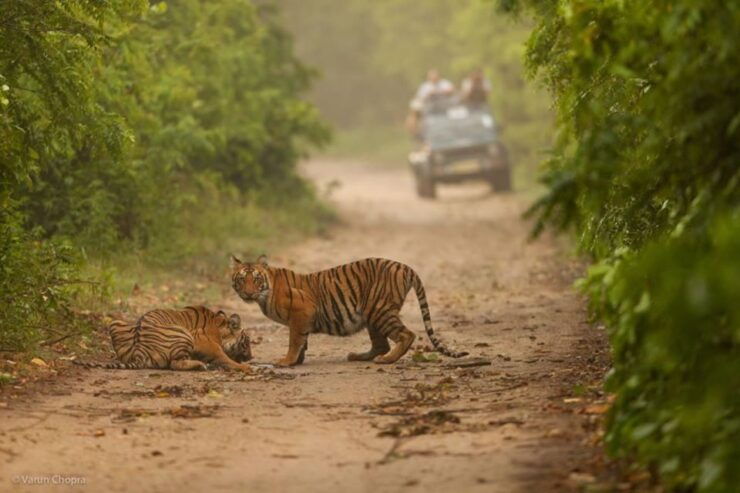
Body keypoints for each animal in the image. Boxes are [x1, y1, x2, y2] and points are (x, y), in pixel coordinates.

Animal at [74, 306, 253, 372]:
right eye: (246, 342)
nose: (251, 357)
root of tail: (139, 352)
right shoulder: (205, 342)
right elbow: (223, 355)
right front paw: (245, 367)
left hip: (115, 322)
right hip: (183, 333)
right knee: (175, 364)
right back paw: (200, 365)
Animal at [231, 255, 467, 367]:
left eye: (256, 279)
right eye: (242, 279)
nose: (248, 293)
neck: (266, 291)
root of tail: (405, 266)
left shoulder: (302, 311)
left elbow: (295, 341)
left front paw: (287, 361)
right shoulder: (302, 318)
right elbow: (302, 342)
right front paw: (297, 361)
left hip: (379, 310)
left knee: (406, 335)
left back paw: (387, 360)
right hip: (372, 314)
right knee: (381, 343)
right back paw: (359, 356)